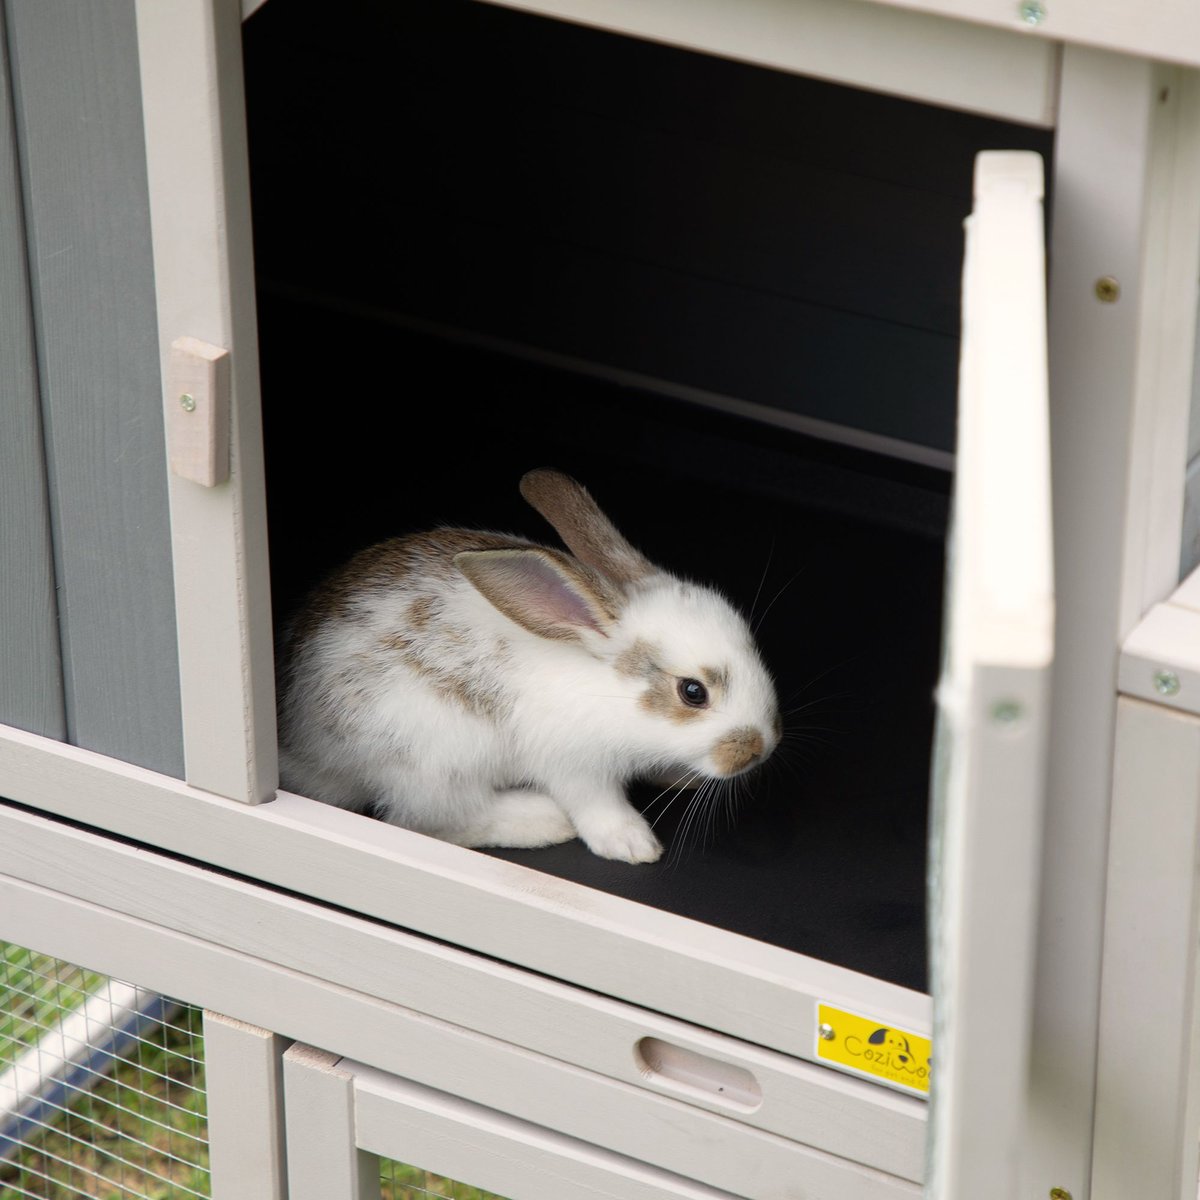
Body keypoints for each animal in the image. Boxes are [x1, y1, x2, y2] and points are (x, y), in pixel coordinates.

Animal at [274, 468, 777, 864]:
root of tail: (306, 750)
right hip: (436, 759)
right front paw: (633, 844)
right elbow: (598, 806)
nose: (760, 750)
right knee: (431, 820)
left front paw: (680, 778)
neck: (609, 691)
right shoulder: (575, 763)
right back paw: (543, 820)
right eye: (693, 692)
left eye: (752, 645)